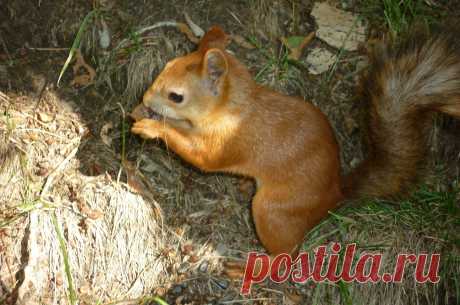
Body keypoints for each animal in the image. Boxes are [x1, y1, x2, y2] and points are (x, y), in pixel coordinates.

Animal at [130, 25, 460, 258]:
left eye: (176, 96)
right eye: (166, 65)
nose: (144, 98)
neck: (235, 106)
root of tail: (335, 195)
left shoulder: (228, 141)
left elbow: (201, 157)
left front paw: (151, 126)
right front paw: (142, 114)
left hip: (272, 210)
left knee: (286, 256)